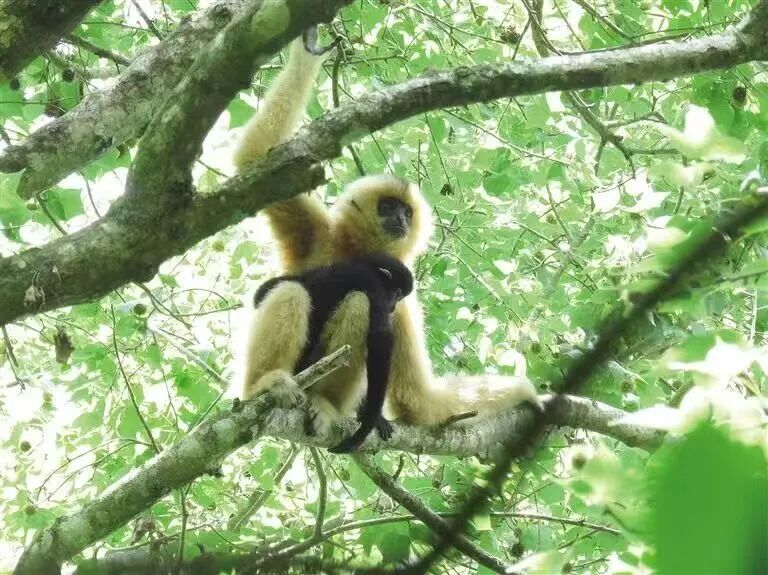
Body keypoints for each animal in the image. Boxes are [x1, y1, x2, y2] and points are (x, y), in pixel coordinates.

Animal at [244, 253, 413, 452]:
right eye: (398, 294)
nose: (393, 306)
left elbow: (262, 292)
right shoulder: (372, 282)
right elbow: (381, 335)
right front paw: (369, 423)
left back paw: (326, 404)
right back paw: (266, 383)